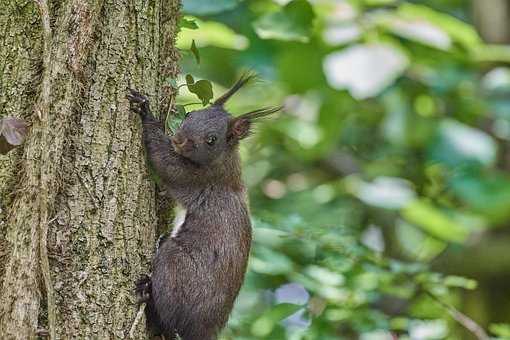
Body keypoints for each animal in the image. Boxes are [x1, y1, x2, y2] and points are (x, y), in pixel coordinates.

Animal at [126, 75, 278, 340]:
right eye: (190, 114)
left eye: (212, 139)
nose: (178, 140)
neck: (226, 163)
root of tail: (203, 331)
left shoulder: (195, 177)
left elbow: (163, 161)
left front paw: (146, 112)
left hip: (176, 266)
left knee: (169, 321)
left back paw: (150, 299)